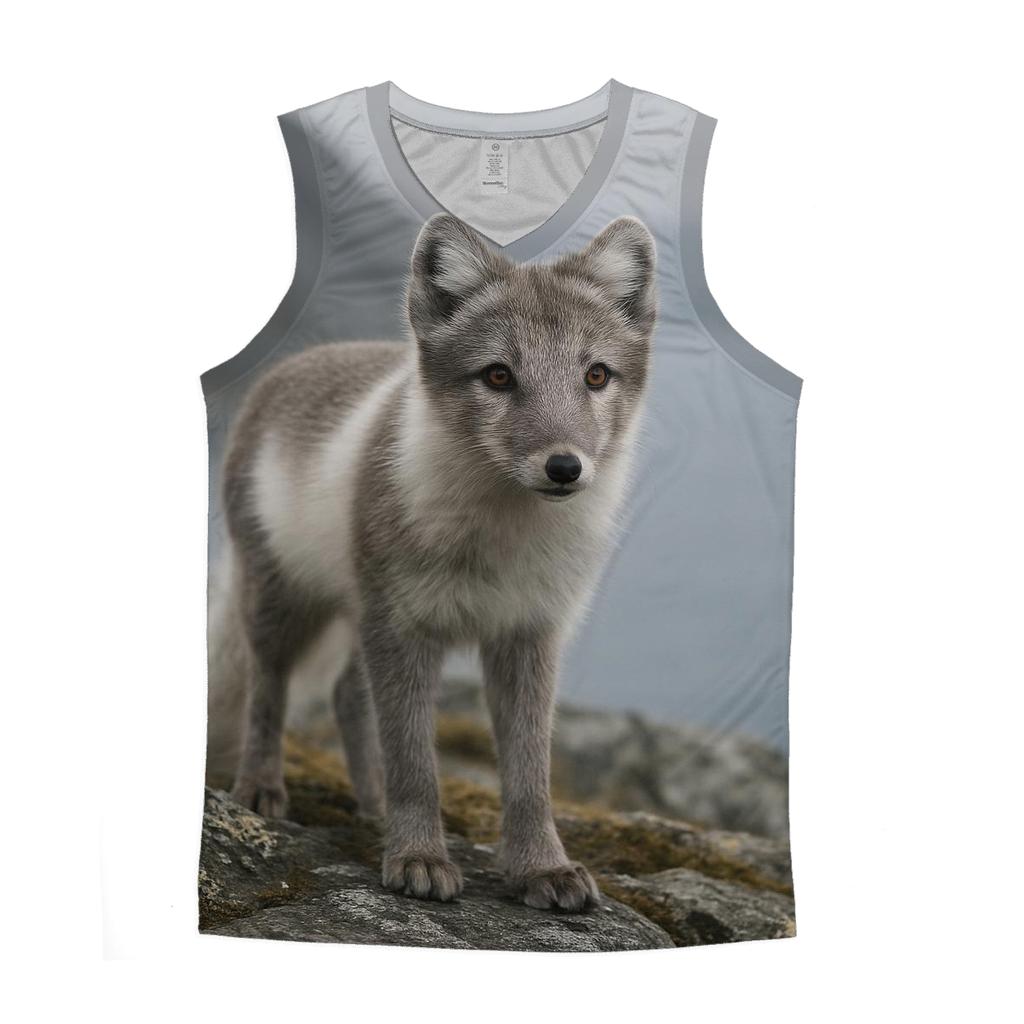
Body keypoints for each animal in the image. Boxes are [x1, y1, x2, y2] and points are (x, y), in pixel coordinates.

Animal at [207, 212, 657, 911]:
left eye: (596, 376)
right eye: (498, 376)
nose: (564, 467)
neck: (500, 539)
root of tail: (298, 363)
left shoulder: (529, 634)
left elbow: (529, 773)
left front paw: (543, 868)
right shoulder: (404, 627)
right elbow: (416, 762)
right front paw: (419, 858)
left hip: (356, 614)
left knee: (349, 697)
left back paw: (371, 804)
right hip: (282, 599)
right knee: (268, 686)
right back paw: (260, 789)